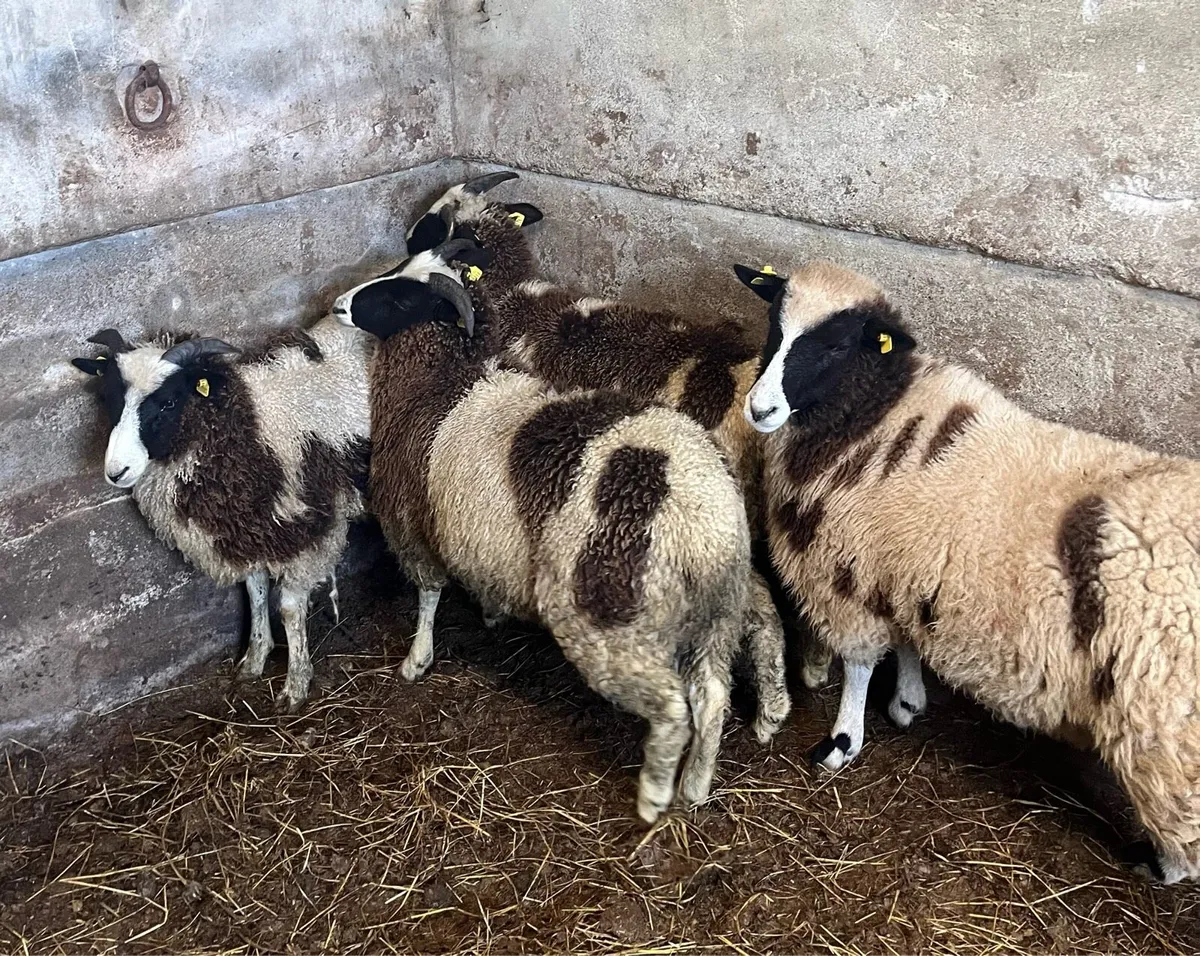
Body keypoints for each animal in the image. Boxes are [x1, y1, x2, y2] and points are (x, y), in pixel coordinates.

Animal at [71, 317, 373, 712]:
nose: (116, 471)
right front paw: (255, 658)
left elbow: (289, 609)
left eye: (169, 403)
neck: (243, 424)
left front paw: (295, 685)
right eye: (109, 398)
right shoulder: (248, 528)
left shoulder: (307, 531)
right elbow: (255, 592)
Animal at [332, 237, 759, 820]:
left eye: (398, 298)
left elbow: (427, 597)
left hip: (609, 619)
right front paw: (490, 612)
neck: (435, 382)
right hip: (716, 615)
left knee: (673, 710)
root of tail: (701, 523)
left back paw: (653, 796)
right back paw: (695, 785)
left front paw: (416, 661)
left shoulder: (411, 528)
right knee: (713, 697)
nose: (338, 304)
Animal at [735, 258, 1200, 882]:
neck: (875, 413)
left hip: (1164, 723)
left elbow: (858, 665)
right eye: (773, 327)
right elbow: (908, 640)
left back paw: (1158, 866)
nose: (759, 410)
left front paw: (841, 743)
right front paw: (907, 702)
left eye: (835, 346)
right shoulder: (900, 568)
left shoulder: (849, 573)